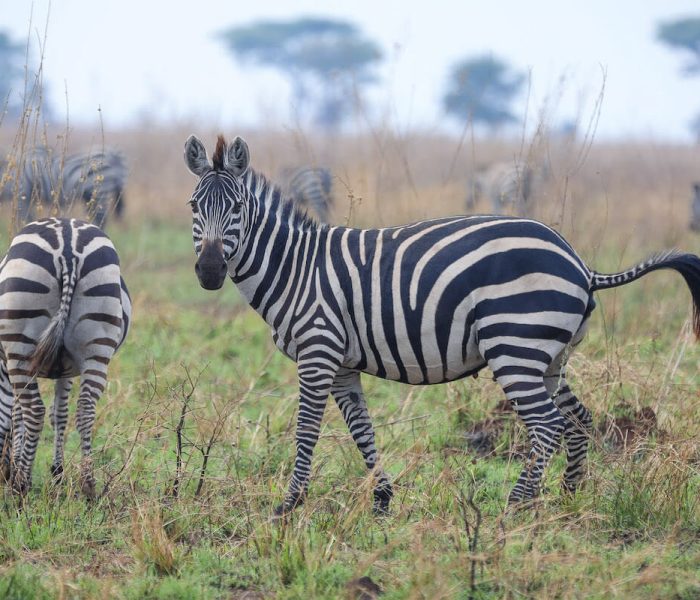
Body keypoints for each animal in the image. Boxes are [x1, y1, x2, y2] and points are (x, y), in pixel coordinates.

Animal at [0, 218, 131, 494]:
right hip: (97, 344)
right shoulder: (66, 368)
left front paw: (15, 469)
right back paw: (88, 485)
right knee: (85, 409)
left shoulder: (6, 365)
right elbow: (59, 414)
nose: (4, 475)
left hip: (20, 348)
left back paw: (21, 484)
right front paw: (57, 473)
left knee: (34, 411)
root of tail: (68, 247)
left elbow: (15, 415)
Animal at [182, 135, 700, 516]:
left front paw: (288, 506)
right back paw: (566, 501)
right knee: (578, 420)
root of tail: (580, 262)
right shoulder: (343, 364)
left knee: (548, 424)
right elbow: (362, 431)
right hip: (551, 357)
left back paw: (515, 507)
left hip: (515, 348)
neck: (295, 266)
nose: (208, 272)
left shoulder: (318, 351)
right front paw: (382, 500)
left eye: (237, 209)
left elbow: (307, 430)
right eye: (192, 207)